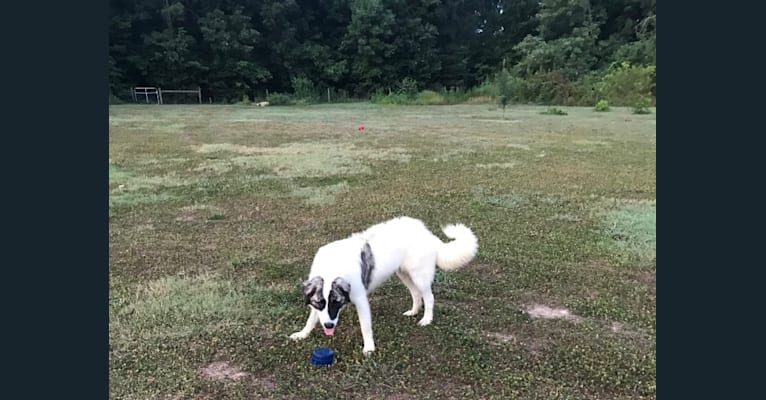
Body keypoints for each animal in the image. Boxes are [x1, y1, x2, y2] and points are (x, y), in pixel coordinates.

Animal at [290, 216, 476, 354]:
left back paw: (426, 319)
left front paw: (369, 348)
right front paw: (302, 334)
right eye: (320, 303)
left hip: (419, 276)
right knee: (416, 294)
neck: (332, 266)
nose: (329, 326)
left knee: (429, 297)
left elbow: (365, 327)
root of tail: (425, 231)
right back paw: (414, 311)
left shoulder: (361, 300)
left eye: (336, 302)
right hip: (404, 274)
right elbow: (311, 319)